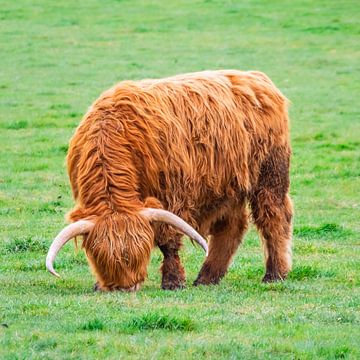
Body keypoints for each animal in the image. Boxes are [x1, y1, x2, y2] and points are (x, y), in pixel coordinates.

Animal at [45, 69, 292, 292]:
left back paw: (274, 274)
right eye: (101, 256)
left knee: (273, 218)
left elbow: (168, 240)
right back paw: (207, 277)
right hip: (229, 187)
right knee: (231, 227)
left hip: (270, 176)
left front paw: (173, 281)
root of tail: (257, 78)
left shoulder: (174, 195)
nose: (125, 287)